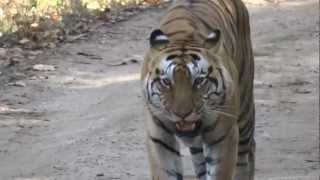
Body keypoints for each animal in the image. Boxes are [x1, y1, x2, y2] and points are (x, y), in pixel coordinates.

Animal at [140, 0, 255, 179]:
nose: (182, 114)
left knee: (246, 154)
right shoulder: (159, 138)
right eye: (166, 81)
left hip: (244, 110)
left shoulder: (224, 136)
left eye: (199, 80)